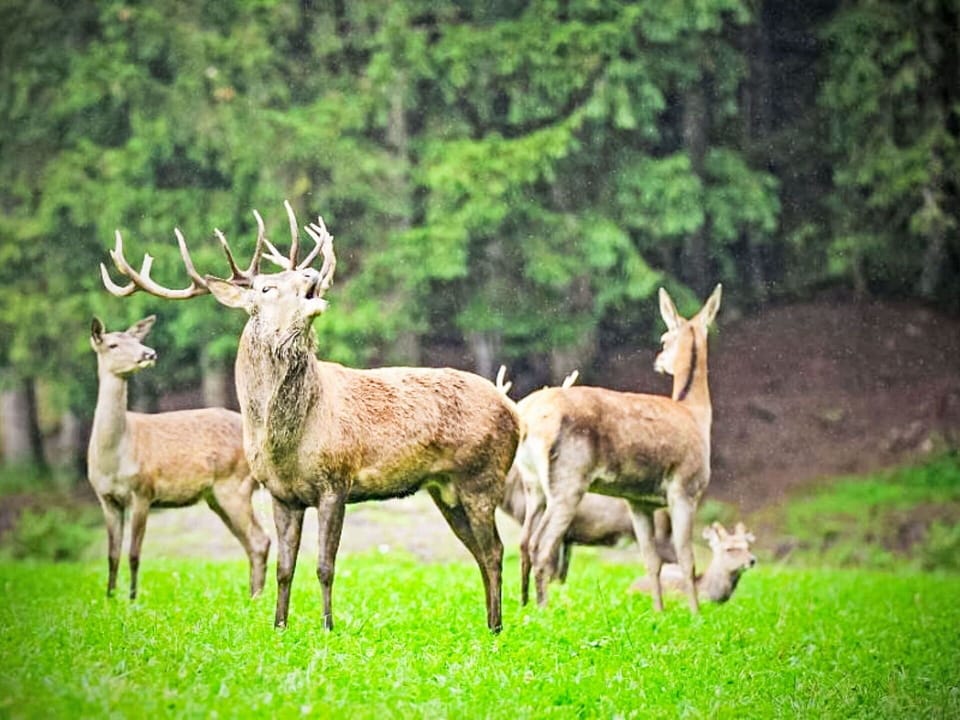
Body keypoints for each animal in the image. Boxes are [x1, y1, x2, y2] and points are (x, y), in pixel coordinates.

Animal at [87, 316, 270, 599]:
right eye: (113, 344)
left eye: (136, 340)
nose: (148, 353)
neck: (114, 459)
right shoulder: (106, 498)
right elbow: (112, 555)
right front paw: (109, 597)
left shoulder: (143, 490)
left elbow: (134, 554)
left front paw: (132, 599)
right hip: (216, 496)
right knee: (251, 543)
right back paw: (253, 596)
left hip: (234, 483)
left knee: (260, 540)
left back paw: (256, 597)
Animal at [514, 284, 722, 613]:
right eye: (664, 338)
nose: (659, 361)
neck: (695, 415)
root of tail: (526, 418)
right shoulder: (685, 487)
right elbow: (687, 559)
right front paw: (695, 613)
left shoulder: (638, 500)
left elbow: (651, 561)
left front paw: (659, 611)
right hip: (568, 479)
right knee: (542, 544)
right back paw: (543, 608)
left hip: (532, 483)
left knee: (523, 541)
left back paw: (524, 605)